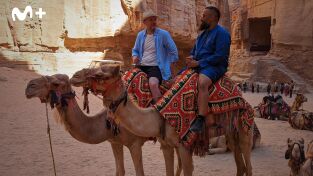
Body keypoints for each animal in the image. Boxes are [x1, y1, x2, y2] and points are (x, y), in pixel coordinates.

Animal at [76, 63, 254, 176]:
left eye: (100, 75)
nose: (75, 76)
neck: (159, 115)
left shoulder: (183, 145)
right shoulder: (166, 145)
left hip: (245, 125)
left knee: (248, 161)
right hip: (230, 131)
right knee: (239, 163)